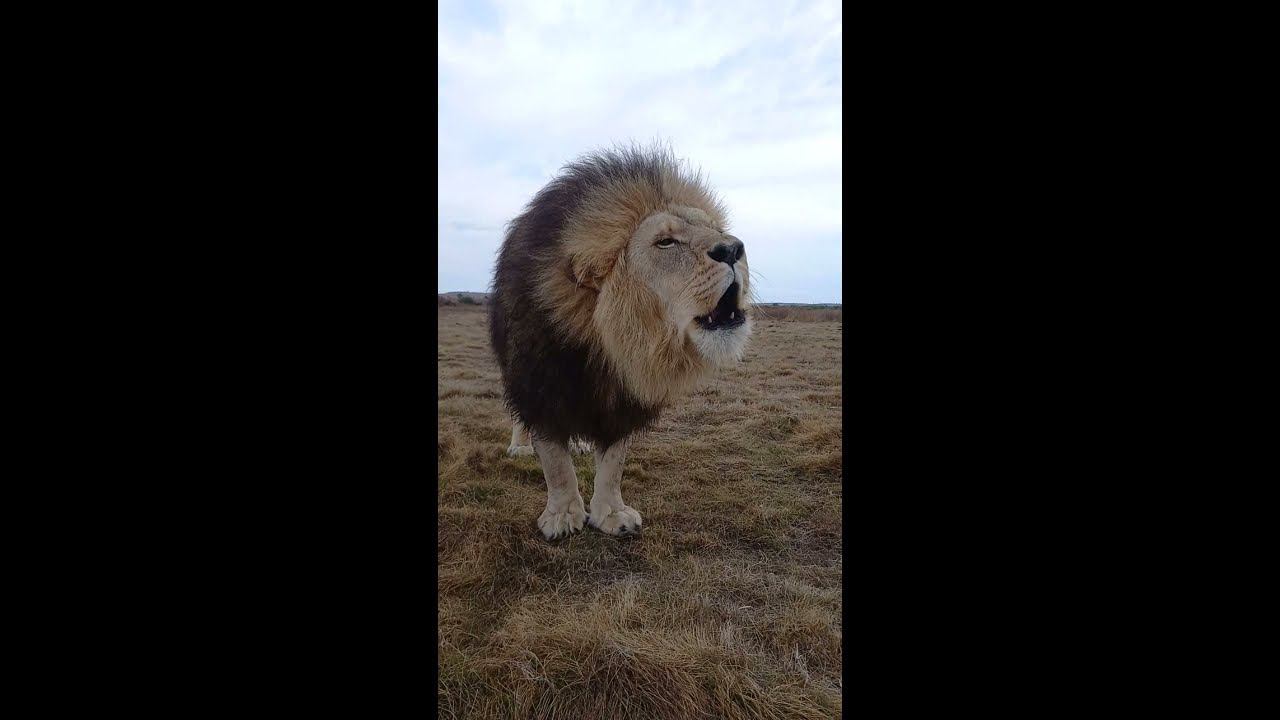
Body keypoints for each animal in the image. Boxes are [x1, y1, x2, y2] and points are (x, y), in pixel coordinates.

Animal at [489, 145, 752, 540]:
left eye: (718, 231)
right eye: (666, 242)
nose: (734, 249)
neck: (605, 341)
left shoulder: (624, 397)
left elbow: (613, 464)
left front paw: (611, 514)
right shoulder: (541, 384)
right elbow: (554, 461)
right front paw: (563, 516)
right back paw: (519, 446)